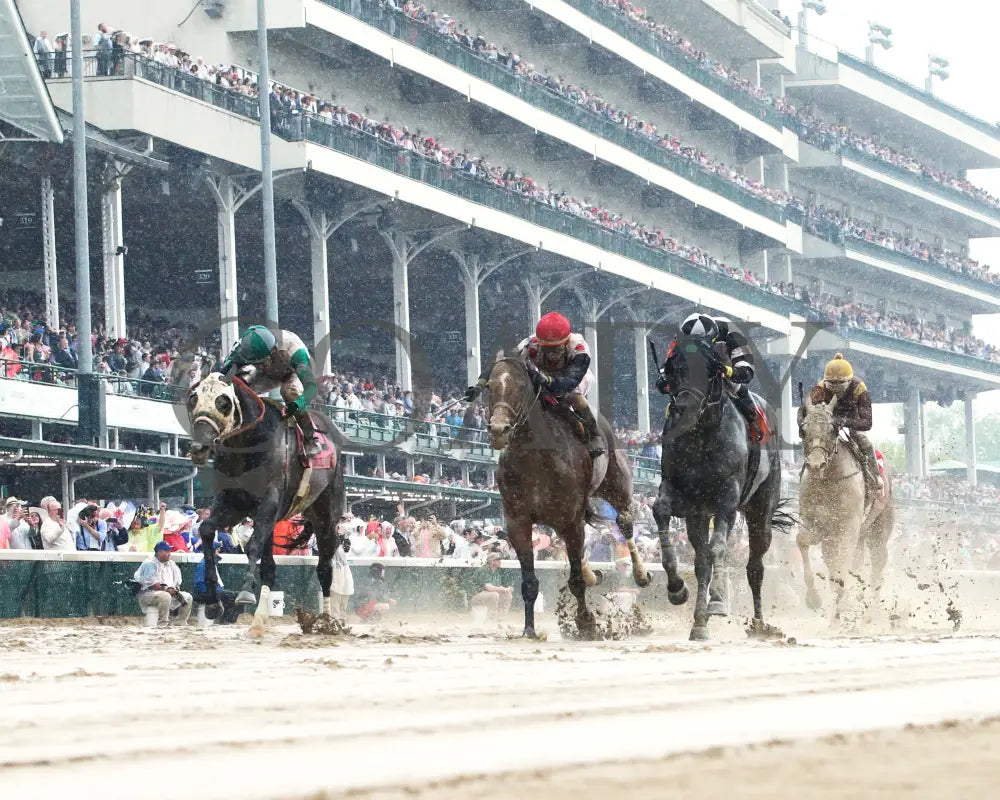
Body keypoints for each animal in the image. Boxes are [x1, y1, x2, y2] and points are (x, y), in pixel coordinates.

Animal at [486, 356, 648, 636]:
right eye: (489, 385)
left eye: (521, 386)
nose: (498, 430)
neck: (535, 459)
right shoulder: (518, 522)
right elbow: (529, 582)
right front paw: (529, 631)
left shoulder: (572, 521)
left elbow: (576, 581)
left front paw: (586, 622)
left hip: (617, 486)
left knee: (625, 522)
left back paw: (643, 575)